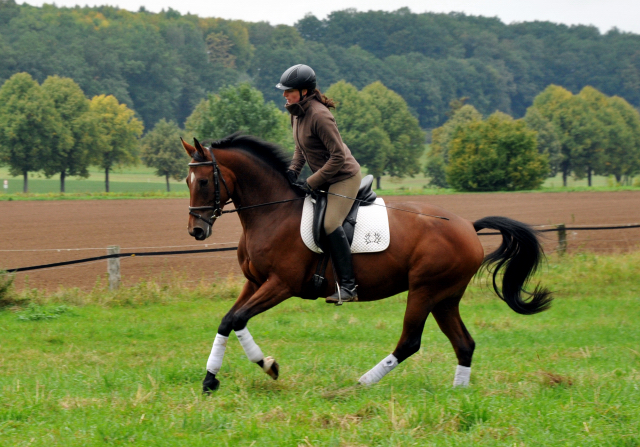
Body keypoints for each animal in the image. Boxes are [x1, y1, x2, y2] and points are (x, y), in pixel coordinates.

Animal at [180, 133, 552, 392]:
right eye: (187, 181)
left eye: (203, 181)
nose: (196, 230)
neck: (272, 212)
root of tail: (467, 227)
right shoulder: (255, 282)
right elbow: (227, 321)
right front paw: (210, 379)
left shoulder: (280, 285)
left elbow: (239, 319)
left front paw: (268, 365)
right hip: (445, 297)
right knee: (464, 343)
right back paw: (458, 393)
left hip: (425, 290)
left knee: (410, 342)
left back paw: (360, 384)